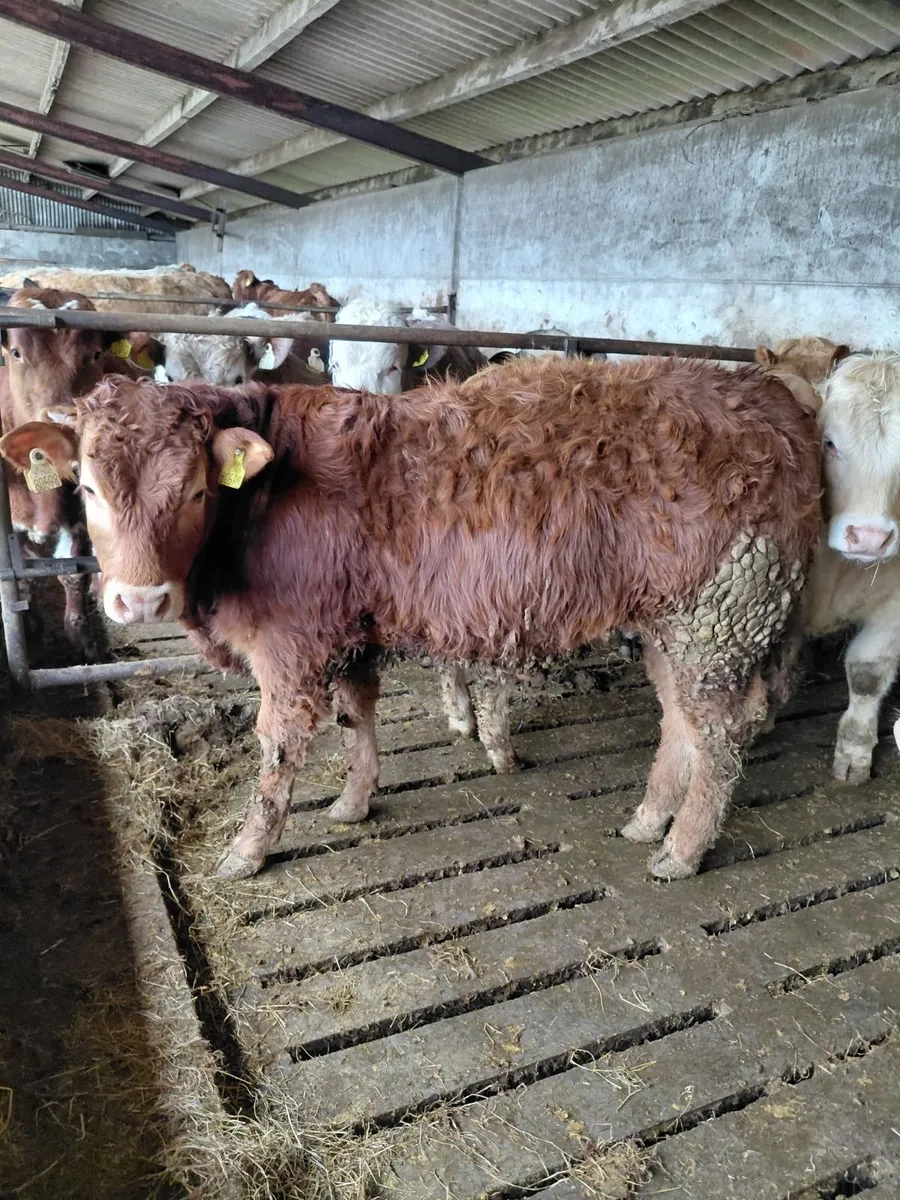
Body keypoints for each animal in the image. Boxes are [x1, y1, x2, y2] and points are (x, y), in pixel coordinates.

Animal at [0, 286, 144, 655]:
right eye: (17, 353)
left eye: (95, 353)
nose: (62, 418)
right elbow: (25, 578)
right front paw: (31, 628)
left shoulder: (79, 513)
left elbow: (72, 571)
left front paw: (82, 638)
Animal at [0, 356, 822, 882]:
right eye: (90, 488)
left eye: (198, 490)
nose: (139, 602)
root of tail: (770, 398)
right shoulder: (346, 629)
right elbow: (356, 717)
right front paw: (353, 802)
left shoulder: (291, 645)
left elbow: (278, 750)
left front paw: (248, 851)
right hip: (672, 621)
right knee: (680, 719)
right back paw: (650, 819)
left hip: (721, 611)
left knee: (721, 734)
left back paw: (682, 850)